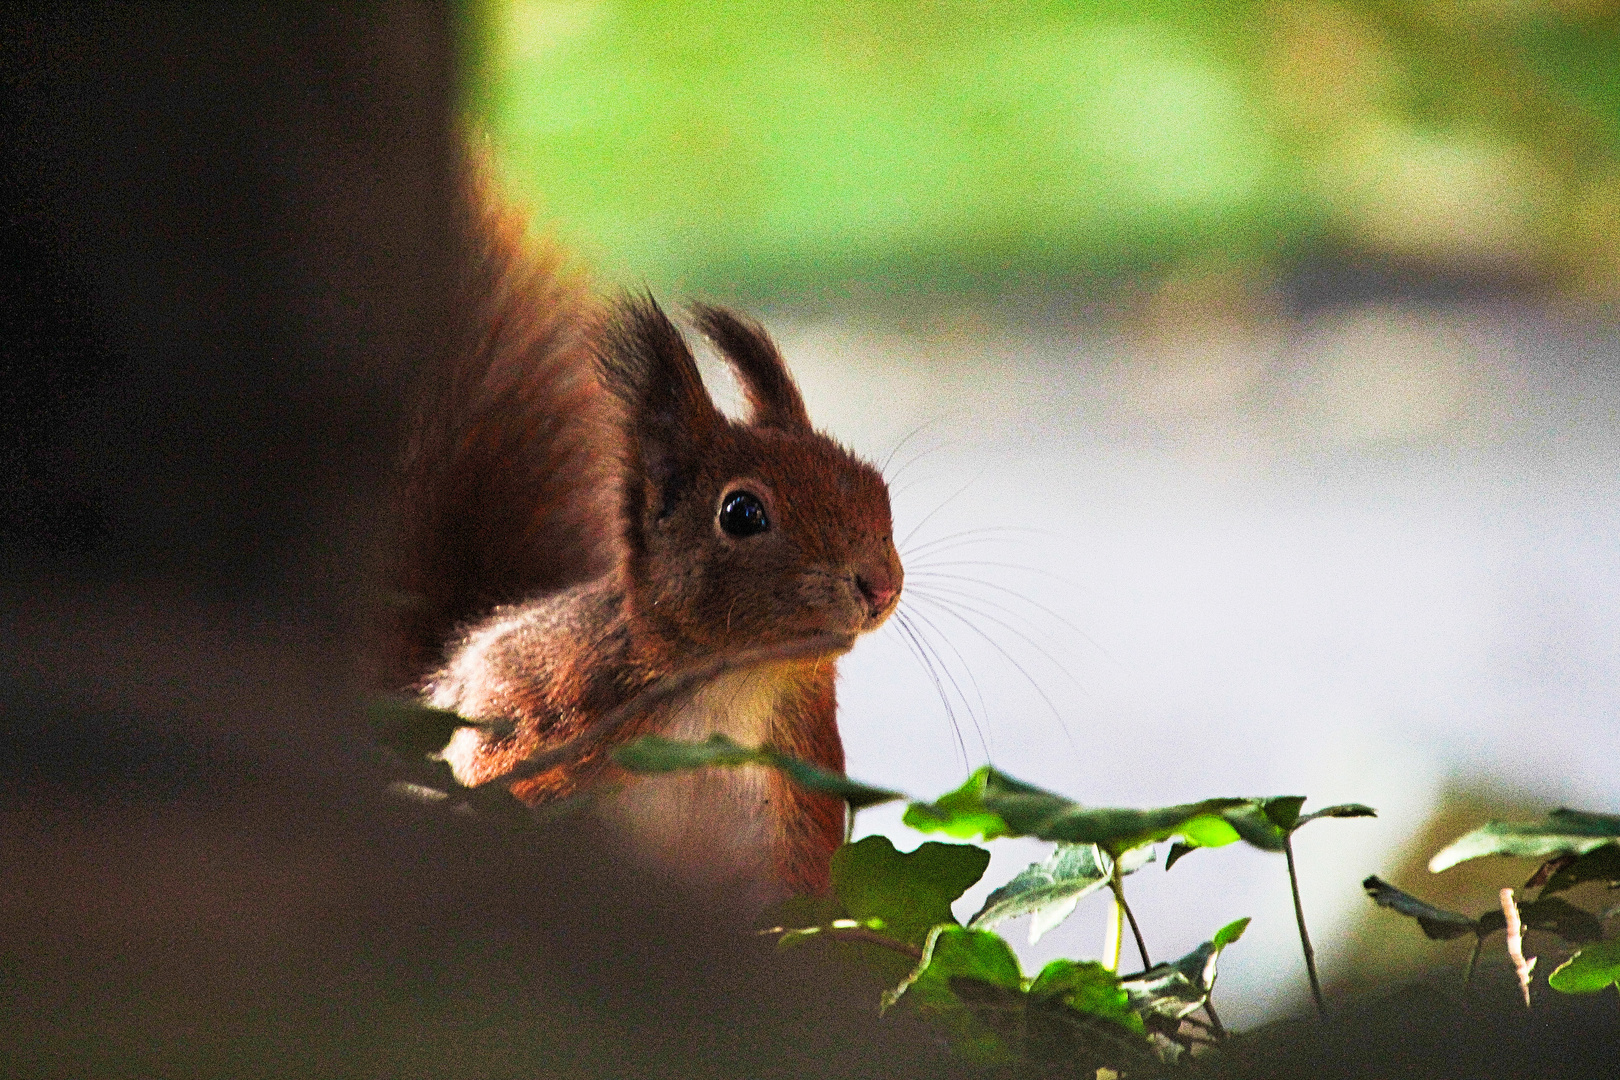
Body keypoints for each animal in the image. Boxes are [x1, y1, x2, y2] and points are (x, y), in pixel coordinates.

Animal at [385, 158, 907, 893]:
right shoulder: (543, 728)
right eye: (741, 512)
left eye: (875, 489)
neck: (731, 689)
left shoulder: (797, 818)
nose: (879, 585)